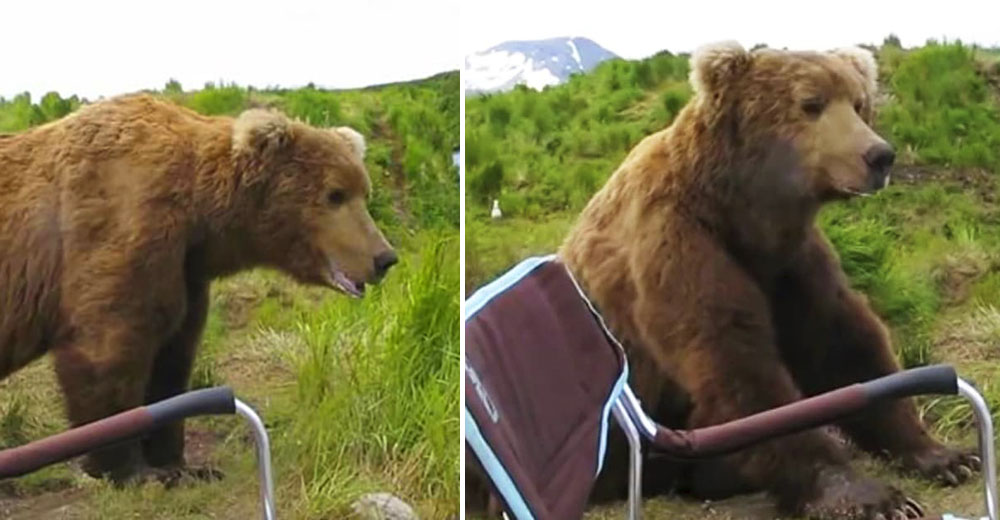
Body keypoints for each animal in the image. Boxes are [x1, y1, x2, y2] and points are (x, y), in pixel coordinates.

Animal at [0, 93, 398, 484]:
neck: (199, 214)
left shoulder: (185, 272)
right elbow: (107, 351)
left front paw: (183, 465)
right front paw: (129, 469)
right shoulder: (118, 227)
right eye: (335, 194)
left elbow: (173, 359)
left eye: (363, 192)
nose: (384, 257)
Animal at [560, 43, 980, 520]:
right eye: (811, 103)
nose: (879, 155)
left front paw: (946, 457)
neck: (738, 210)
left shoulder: (789, 263)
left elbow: (842, 344)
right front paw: (870, 496)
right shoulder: (676, 243)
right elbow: (738, 364)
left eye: (858, 103)